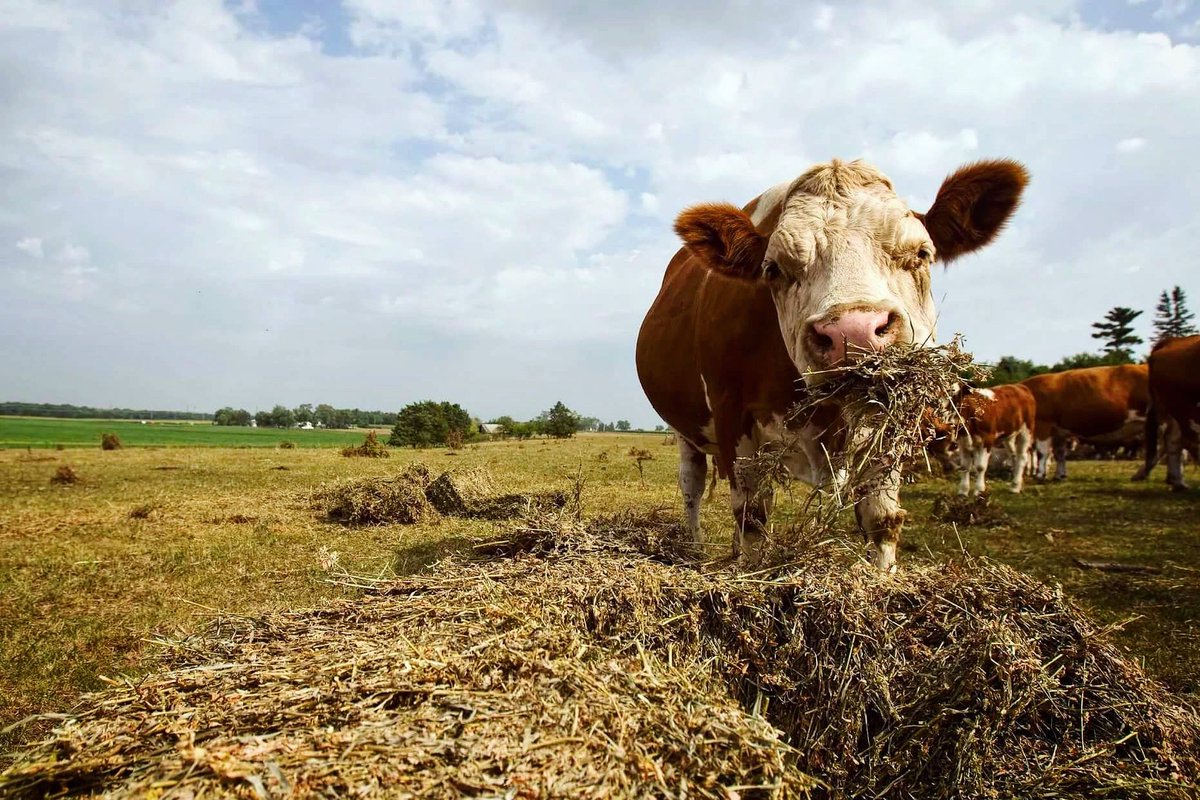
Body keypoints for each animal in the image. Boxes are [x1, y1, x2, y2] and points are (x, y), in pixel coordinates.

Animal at [633, 158, 1027, 568]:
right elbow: (752, 520)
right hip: (685, 430)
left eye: (921, 254)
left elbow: (882, 519)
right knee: (691, 485)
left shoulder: (887, 434)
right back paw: (693, 549)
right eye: (773, 269)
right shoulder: (734, 421)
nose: (854, 333)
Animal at [1017, 364, 1147, 482]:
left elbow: (1042, 452)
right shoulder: (1059, 432)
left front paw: (1040, 475)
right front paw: (1060, 475)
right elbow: (1060, 454)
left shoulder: (1043, 425)